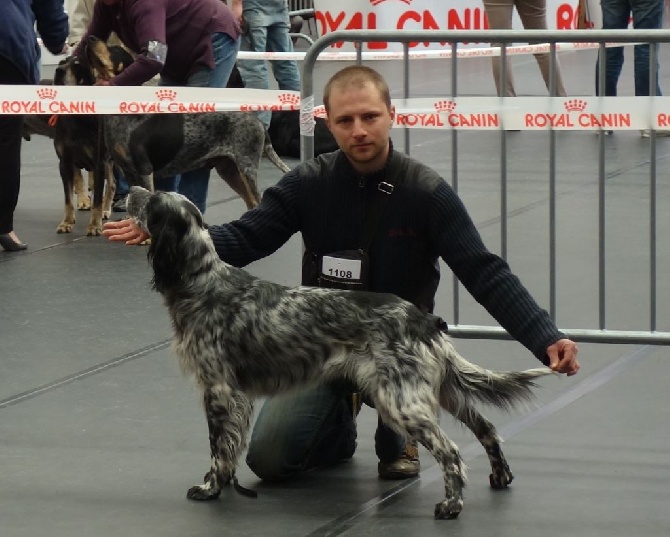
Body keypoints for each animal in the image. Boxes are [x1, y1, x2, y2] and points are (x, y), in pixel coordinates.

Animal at [126, 185, 556, 520]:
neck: (201, 281)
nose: (131, 190)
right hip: (441, 391)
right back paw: (500, 478)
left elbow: (218, 447)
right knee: (487, 428)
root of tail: (423, 319)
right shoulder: (236, 395)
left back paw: (451, 507)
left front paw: (210, 488)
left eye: (154, 201)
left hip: (401, 399)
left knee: (451, 453)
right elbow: (230, 445)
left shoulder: (217, 388)